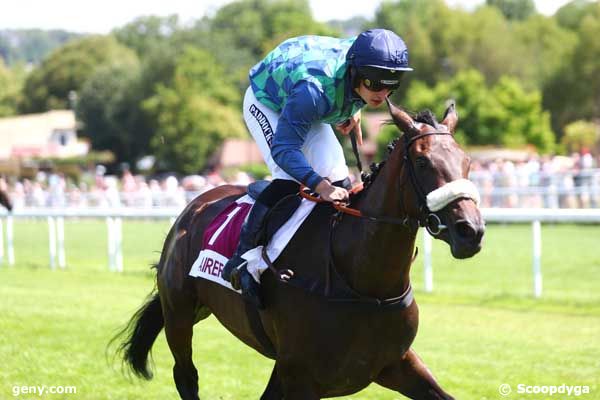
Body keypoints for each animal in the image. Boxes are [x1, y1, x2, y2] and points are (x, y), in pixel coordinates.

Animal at [115, 98, 486, 398]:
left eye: (467, 161)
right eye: (422, 162)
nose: (471, 230)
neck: (362, 281)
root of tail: (194, 206)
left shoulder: (394, 364)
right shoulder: (299, 376)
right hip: (178, 314)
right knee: (186, 376)